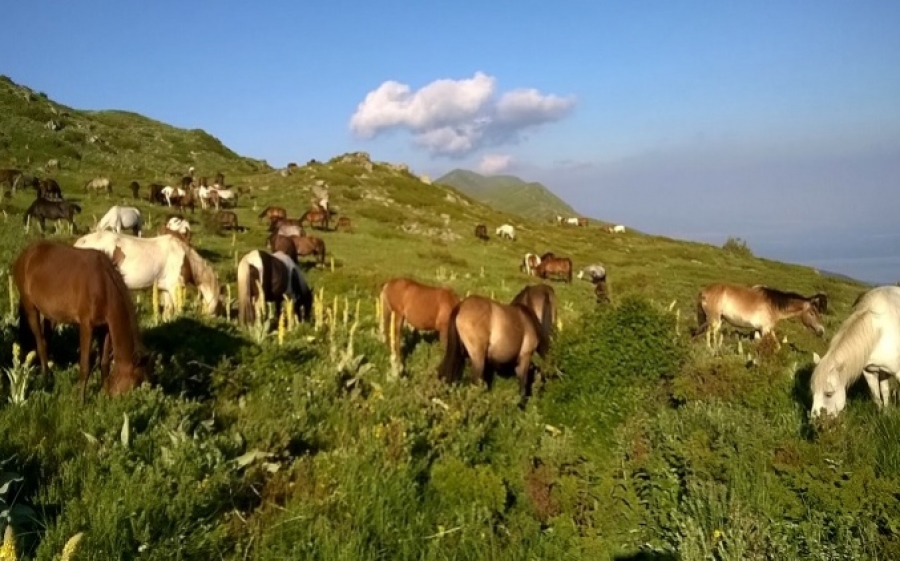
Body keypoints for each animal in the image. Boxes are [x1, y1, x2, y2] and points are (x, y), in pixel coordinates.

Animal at [12, 238, 151, 400]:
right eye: (136, 383)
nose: (131, 401)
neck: (104, 284)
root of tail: (25, 255)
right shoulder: (86, 325)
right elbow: (85, 365)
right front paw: (81, 400)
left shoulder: (105, 327)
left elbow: (104, 363)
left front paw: (103, 393)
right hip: (31, 308)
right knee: (39, 342)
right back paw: (46, 378)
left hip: (49, 314)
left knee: (46, 340)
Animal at [692, 282, 828, 348]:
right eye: (812, 313)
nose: (821, 330)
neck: (773, 305)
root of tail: (704, 292)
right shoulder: (765, 329)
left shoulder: (763, 329)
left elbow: (776, 346)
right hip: (715, 320)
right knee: (710, 334)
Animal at [808, 284, 900, 416]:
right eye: (813, 391)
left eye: (829, 394)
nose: (815, 419)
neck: (880, 332)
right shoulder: (870, 372)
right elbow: (877, 397)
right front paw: (882, 414)